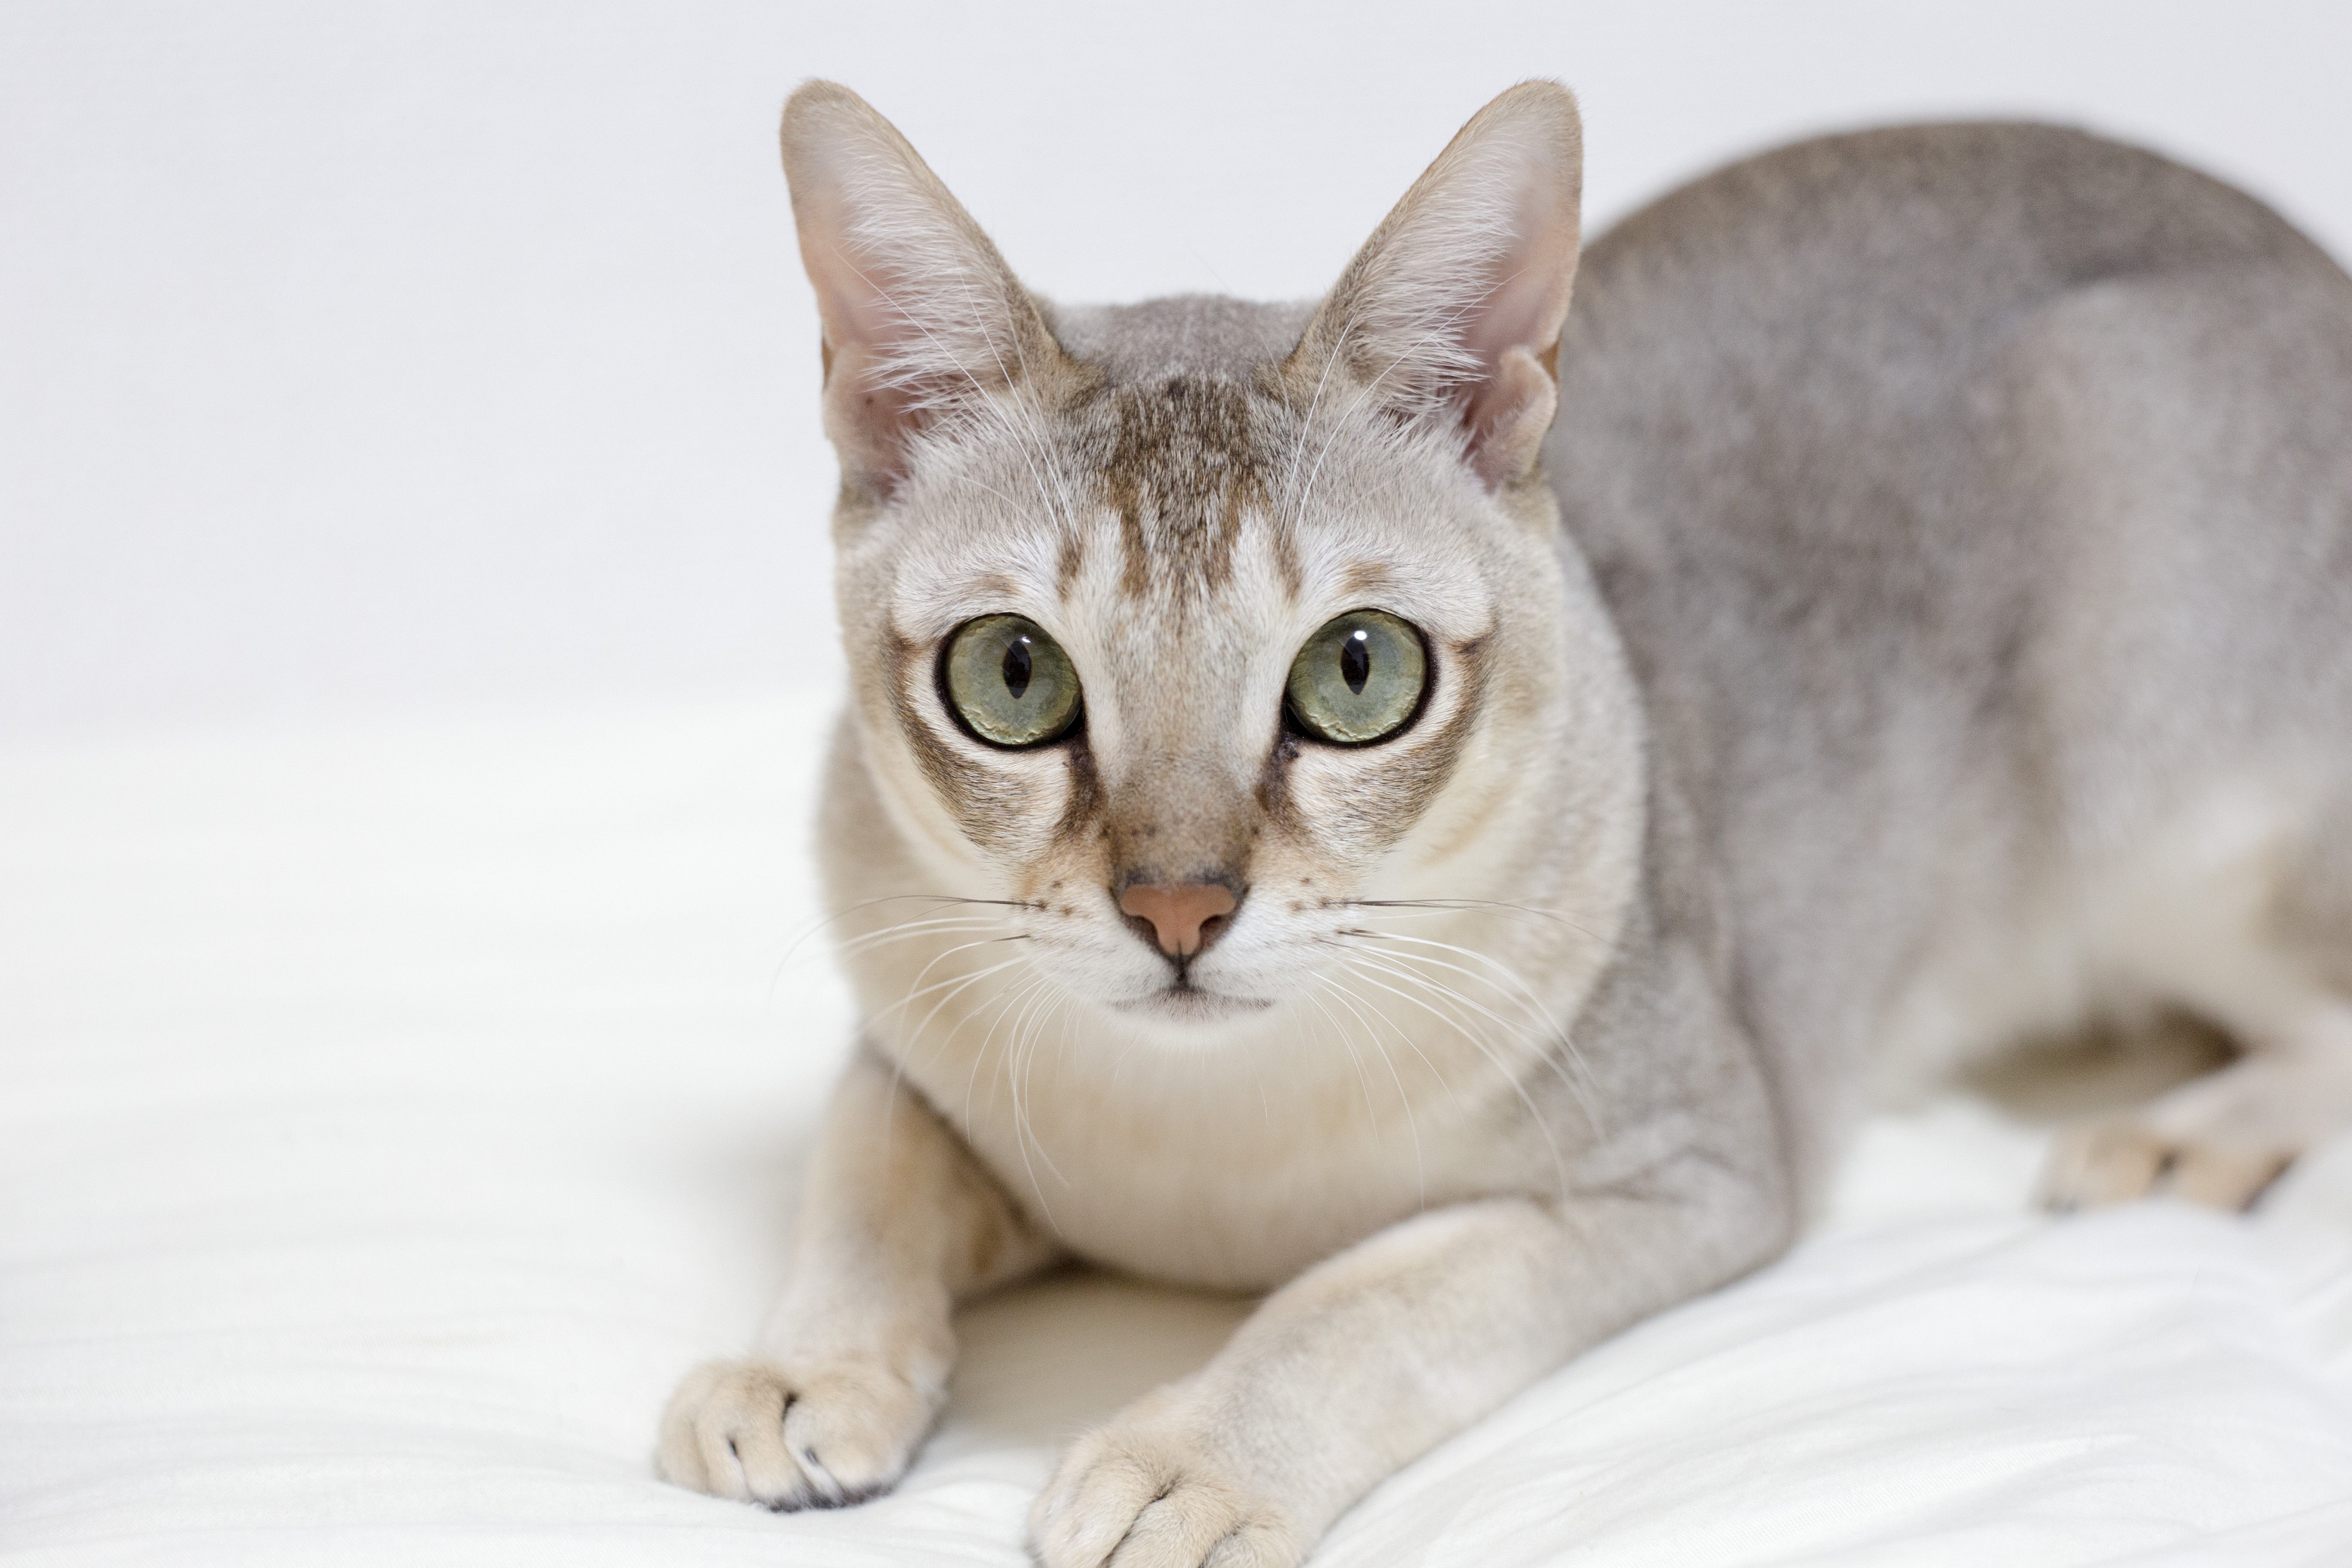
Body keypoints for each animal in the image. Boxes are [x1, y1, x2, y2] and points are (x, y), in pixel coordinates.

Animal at [654, 86, 2352, 1568]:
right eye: (1012, 675)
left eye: (1357, 672)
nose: (1178, 908)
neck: (1204, 1146)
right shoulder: (906, 1048)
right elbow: (865, 1173)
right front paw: (805, 1368)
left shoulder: (1699, 1164)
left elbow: (1363, 1299)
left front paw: (1193, 1458)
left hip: (2149, 784)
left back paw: (2176, 1136)